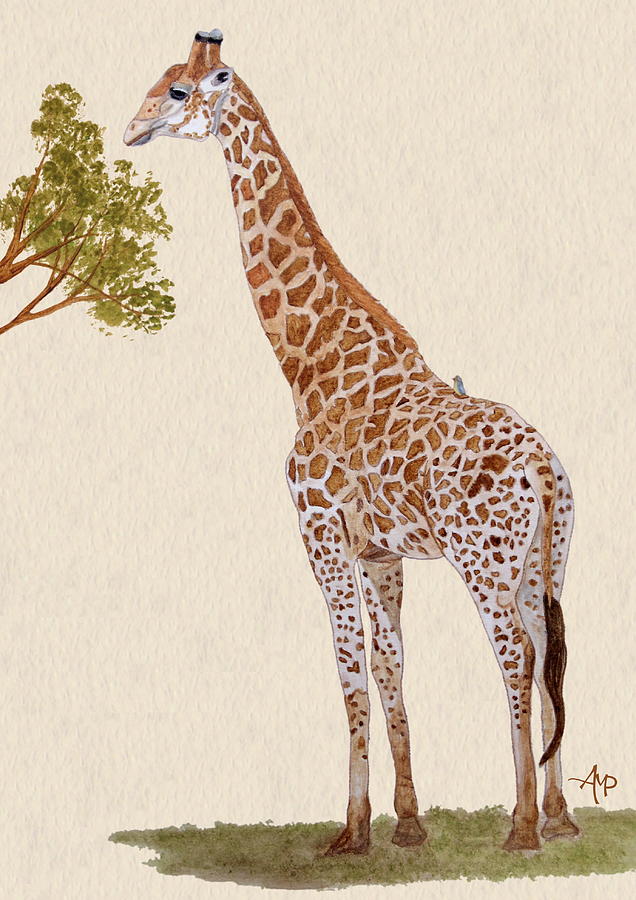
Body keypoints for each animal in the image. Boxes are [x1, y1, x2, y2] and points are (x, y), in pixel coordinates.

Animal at [124, 29, 580, 854]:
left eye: (178, 90)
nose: (131, 128)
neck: (311, 362)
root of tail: (544, 466)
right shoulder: (380, 551)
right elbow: (392, 664)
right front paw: (409, 824)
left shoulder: (321, 533)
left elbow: (348, 668)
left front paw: (352, 830)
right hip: (546, 559)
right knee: (551, 646)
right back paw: (561, 817)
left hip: (483, 559)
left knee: (517, 654)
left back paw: (523, 825)